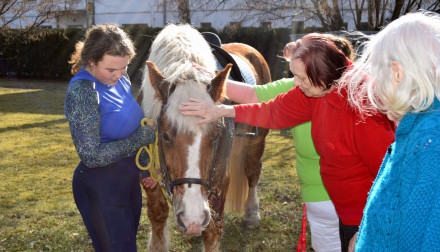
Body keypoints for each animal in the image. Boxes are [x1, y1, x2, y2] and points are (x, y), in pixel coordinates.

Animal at [138, 22, 270, 251]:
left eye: (216, 135)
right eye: (165, 136)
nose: (192, 219)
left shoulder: (220, 180)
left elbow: (212, 231)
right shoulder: (146, 176)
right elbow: (157, 215)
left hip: (257, 142)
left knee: (253, 171)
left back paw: (252, 214)